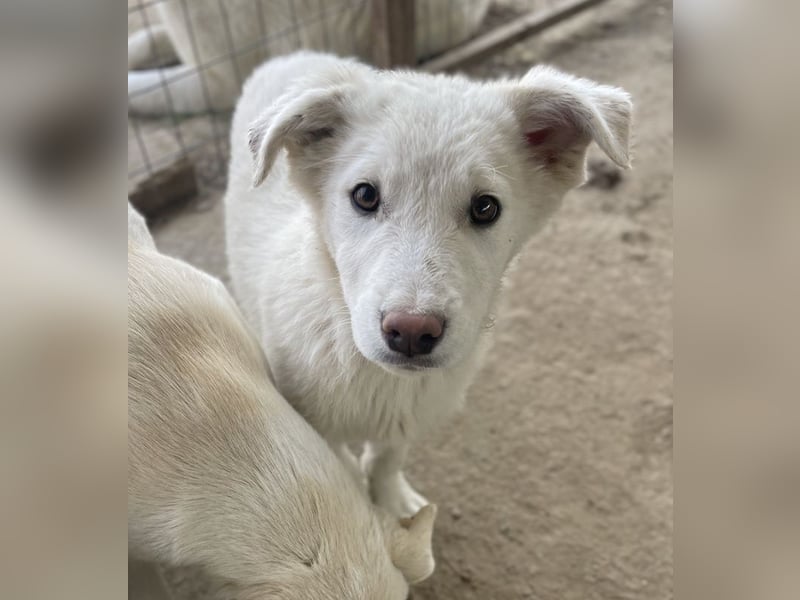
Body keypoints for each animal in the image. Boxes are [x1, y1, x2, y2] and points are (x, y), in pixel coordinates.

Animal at [224, 51, 632, 517]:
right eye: (365, 196)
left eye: (486, 207)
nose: (411, 331)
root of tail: (292, 55)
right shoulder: (310, 423)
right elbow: (341, 469)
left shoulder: (406, 418)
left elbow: (386, 458)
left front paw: (392, 503)